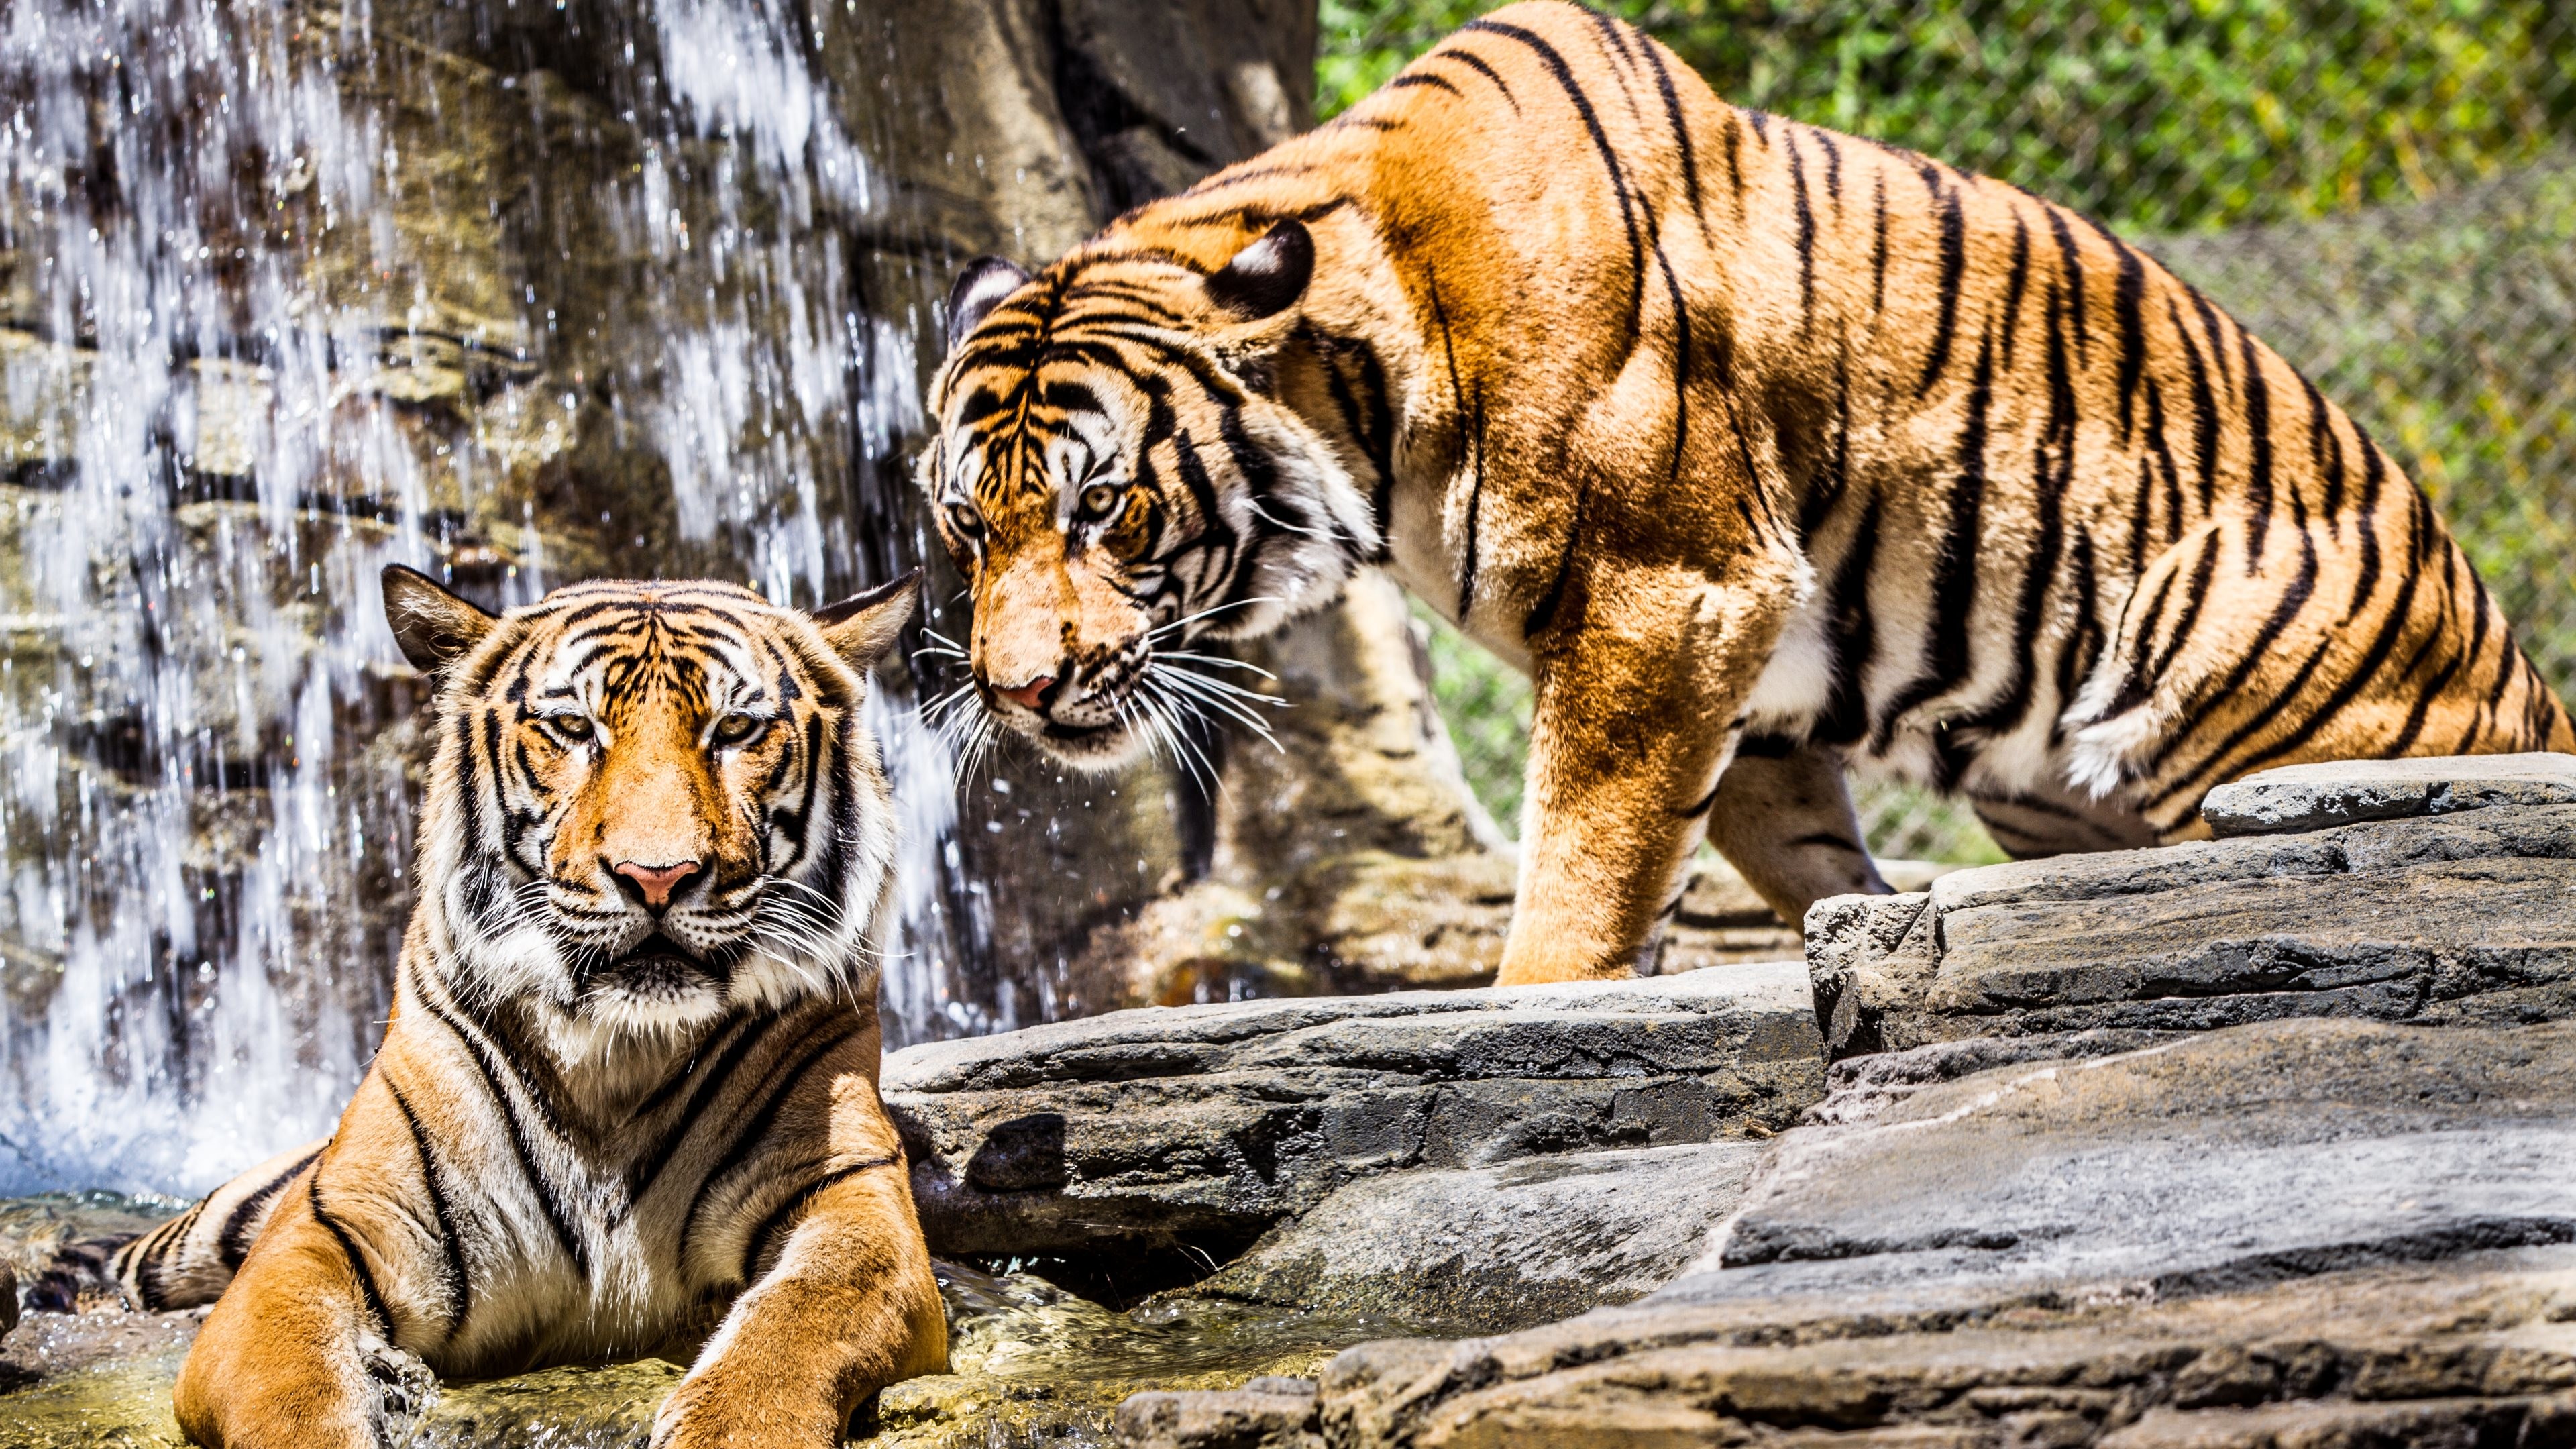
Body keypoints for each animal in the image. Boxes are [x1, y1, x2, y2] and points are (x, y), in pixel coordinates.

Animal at [85, 567, 947, 1448]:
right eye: (573, 728)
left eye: (735, 729)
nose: (659, 877)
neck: (620, 1056)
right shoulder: (326, 1232)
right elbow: (295, 1394)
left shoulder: (849, 1202)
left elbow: (793, 1329)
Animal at [917, 0, 2575, 987]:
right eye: (967, 525)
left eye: (1104, 509)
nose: (1014, 690)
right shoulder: (1759, 684)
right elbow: (1767, 857)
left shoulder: (1668, 594)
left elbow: (1580, 874)